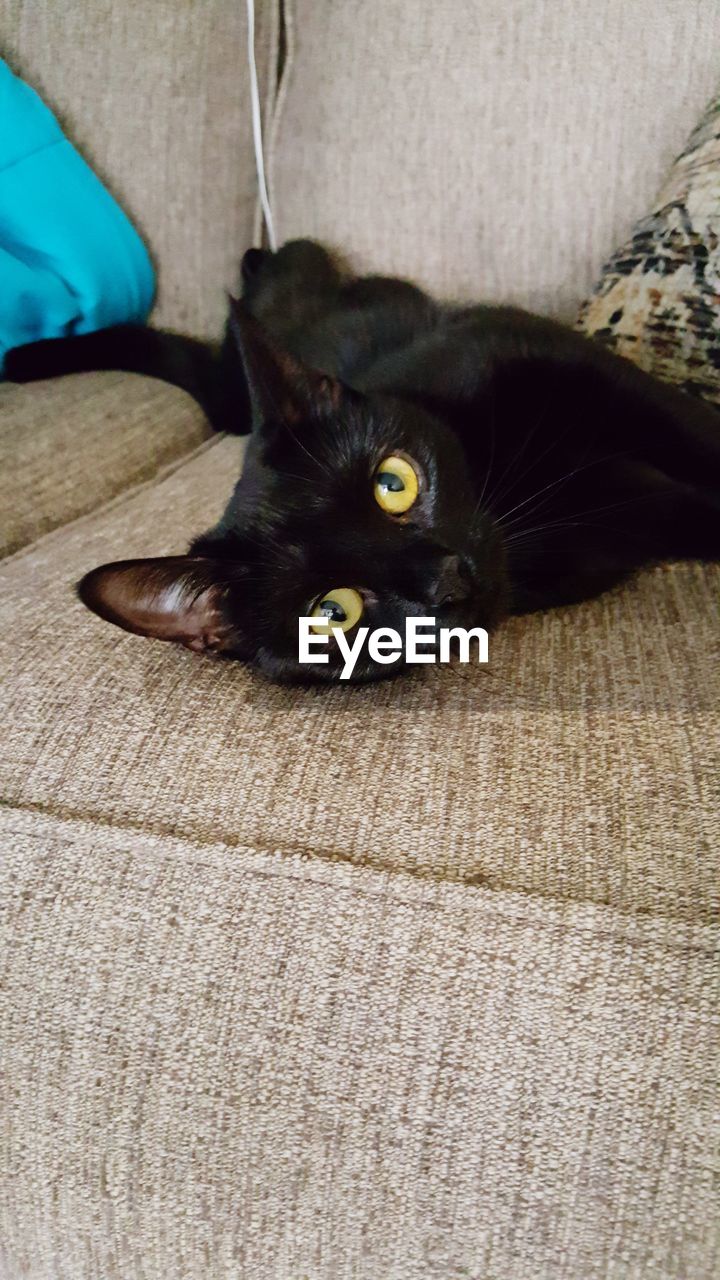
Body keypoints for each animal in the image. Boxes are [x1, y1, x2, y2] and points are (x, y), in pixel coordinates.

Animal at [7, 239, 717, 680]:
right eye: (334, 613)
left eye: (392, 483)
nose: (449, 581)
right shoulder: (634, 519)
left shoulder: (559, 362)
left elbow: (695, 426)